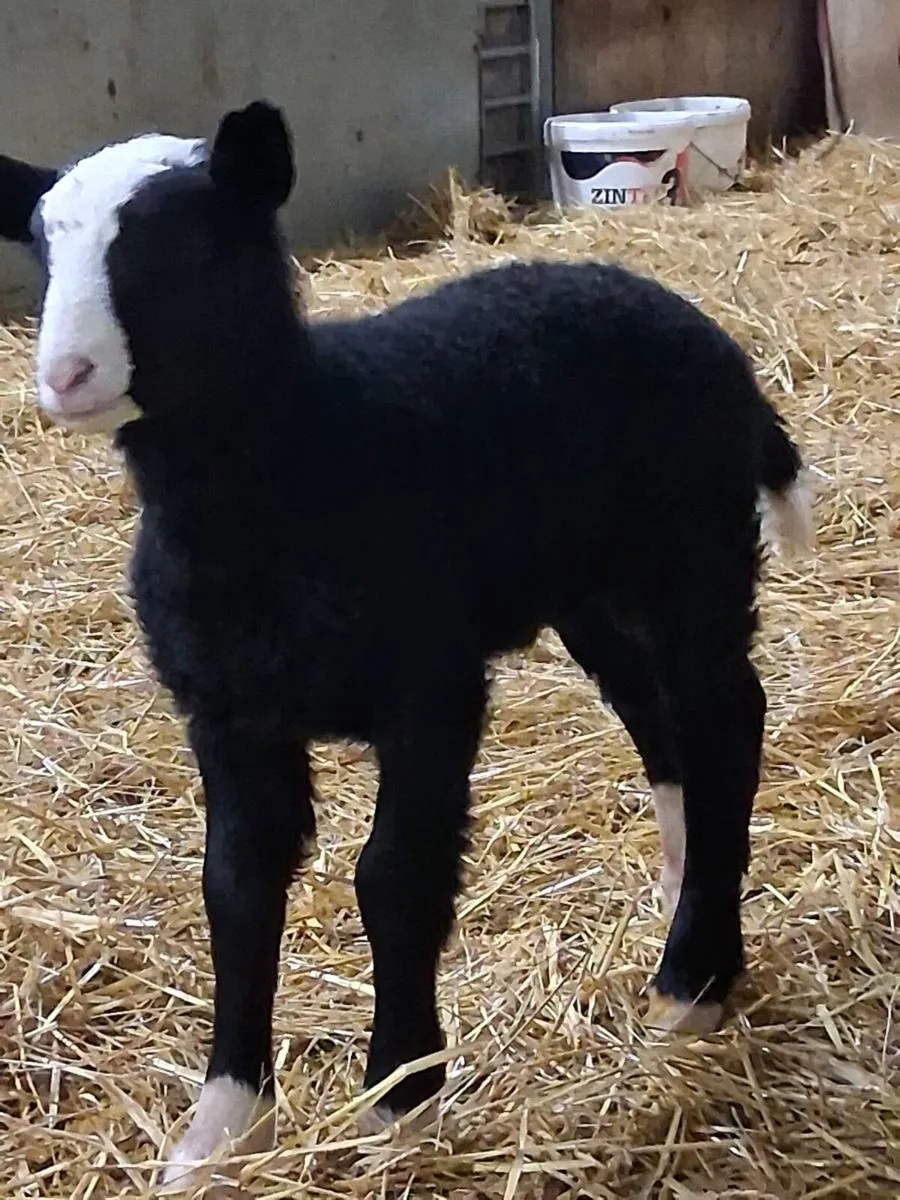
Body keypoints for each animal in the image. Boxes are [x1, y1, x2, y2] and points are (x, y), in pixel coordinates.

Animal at [16, 100, 813, 1189]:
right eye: (42, 251)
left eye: (182, 246)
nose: (65, 377)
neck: (306, 456)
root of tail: (713, 342)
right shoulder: (228, 711)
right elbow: (235, 888)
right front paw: (223, 1128)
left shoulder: (429, 687)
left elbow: (392, 877)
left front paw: (399, 1093)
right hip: (592, 590)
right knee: (663, 724)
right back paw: (682, 888)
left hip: (693, 552)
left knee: (725, 720)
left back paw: (695, 978)